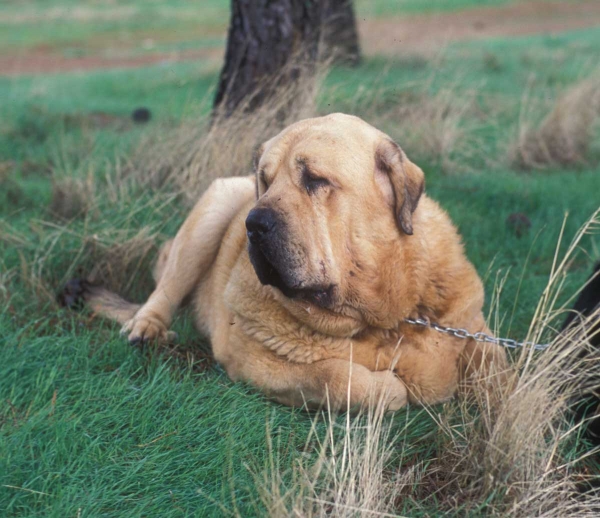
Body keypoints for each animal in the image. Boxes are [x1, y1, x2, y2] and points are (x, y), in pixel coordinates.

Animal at [64, 115, 506, 414]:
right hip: (217, 203)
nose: (253, 223)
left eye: (315, 179)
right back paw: (147, 328)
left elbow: (500, 369)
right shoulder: (247, 355)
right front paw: (397, 388)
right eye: (265, 180)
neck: (385, 318)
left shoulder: (474, 330)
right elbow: (341, 378)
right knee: (164, 291)